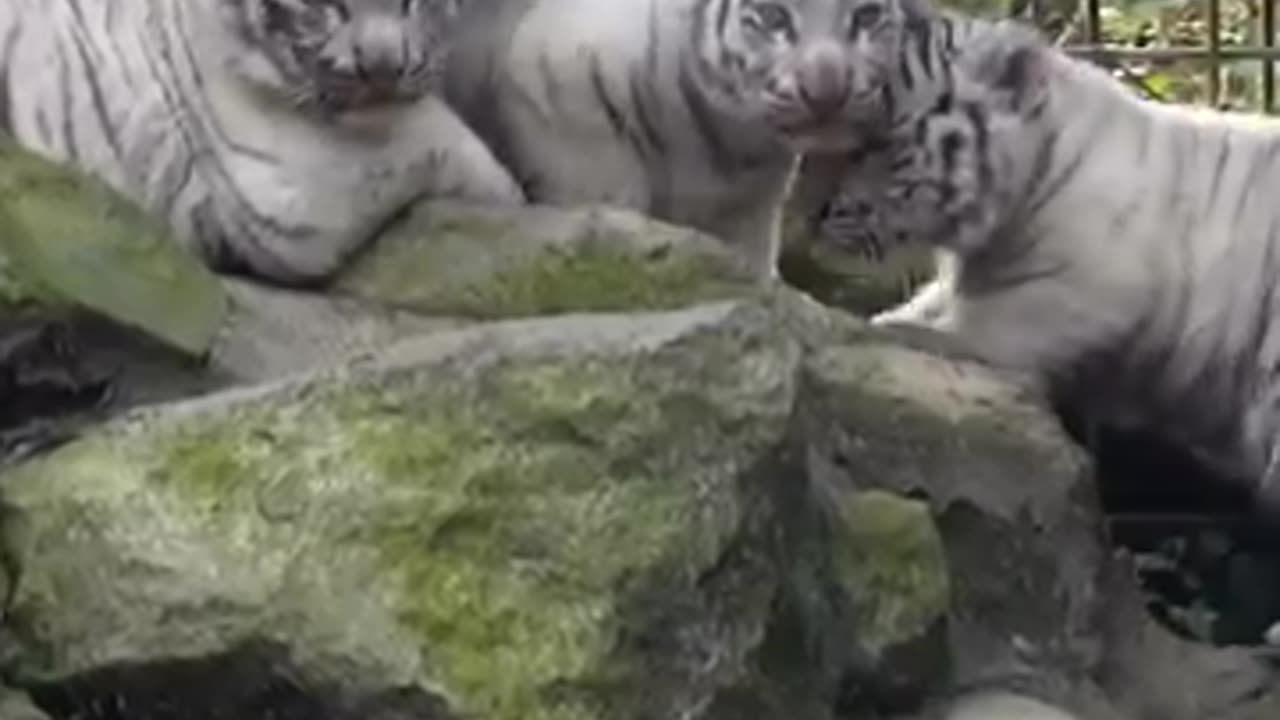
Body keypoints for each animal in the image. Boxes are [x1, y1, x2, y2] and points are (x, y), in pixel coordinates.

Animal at [0, 0, 525, 285]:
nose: (382, 70)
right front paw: (511, 195)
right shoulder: (283, 187)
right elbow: (427, 131)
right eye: (333, 4)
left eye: (411, 1)